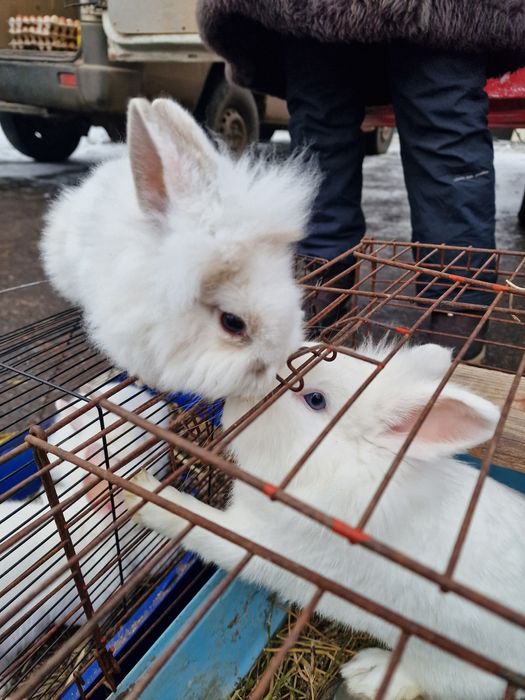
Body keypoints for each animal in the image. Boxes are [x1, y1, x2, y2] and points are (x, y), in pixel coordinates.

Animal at [125, 342, 525, 700]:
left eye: (315, 399)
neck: (339, 467)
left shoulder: (260, 542)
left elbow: (196, 524)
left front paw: (140, 490)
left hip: (443, 663)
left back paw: (365, 674)